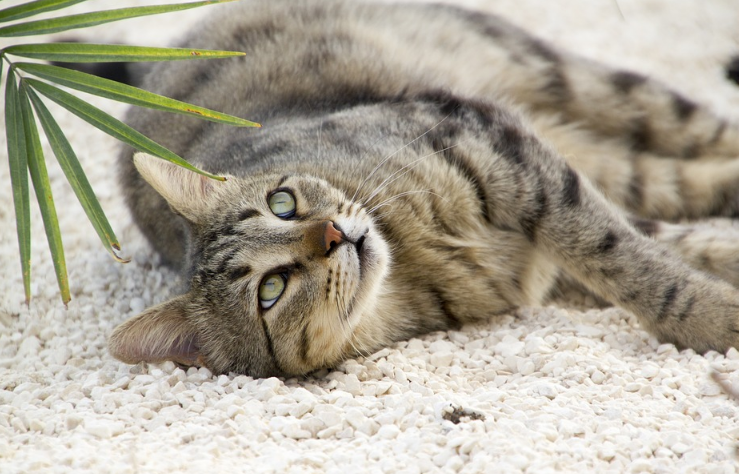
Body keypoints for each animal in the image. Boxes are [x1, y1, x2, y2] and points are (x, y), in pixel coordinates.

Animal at [107, 0, 739, 378]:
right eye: (271, 291)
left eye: (281, 203)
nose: (333, 234)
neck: (415, 254)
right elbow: (652, 249)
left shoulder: (502, 151)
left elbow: (629, 262)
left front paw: (714, 314)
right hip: (608, 155)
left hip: (583, 84)